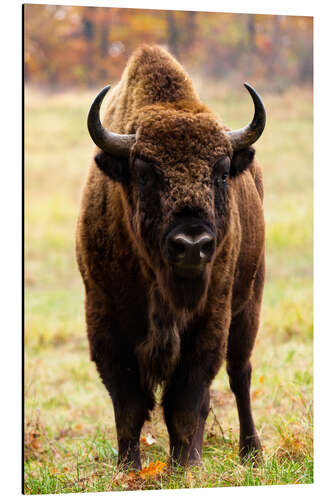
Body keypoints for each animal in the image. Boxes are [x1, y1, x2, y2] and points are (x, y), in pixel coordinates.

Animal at [76, 45, 266, 470]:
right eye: (145, 172)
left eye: (221, 171)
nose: (192, 243)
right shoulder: (105, 321)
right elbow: (128, 405)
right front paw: (128, 468)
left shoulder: (210, 320)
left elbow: (186, 402)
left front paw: (185, 467)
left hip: (250, 303)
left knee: (239, 374)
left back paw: (251, 452)